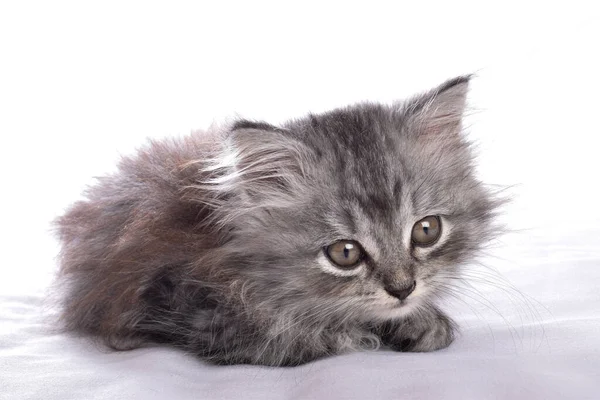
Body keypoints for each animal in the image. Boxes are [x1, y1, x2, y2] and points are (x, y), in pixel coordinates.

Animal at [55, 75, 496, 366]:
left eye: (426, 230)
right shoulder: (192, 309)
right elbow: (306, 335)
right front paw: (370, 331)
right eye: (345, 253)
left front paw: (421, 322)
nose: (403, 289)